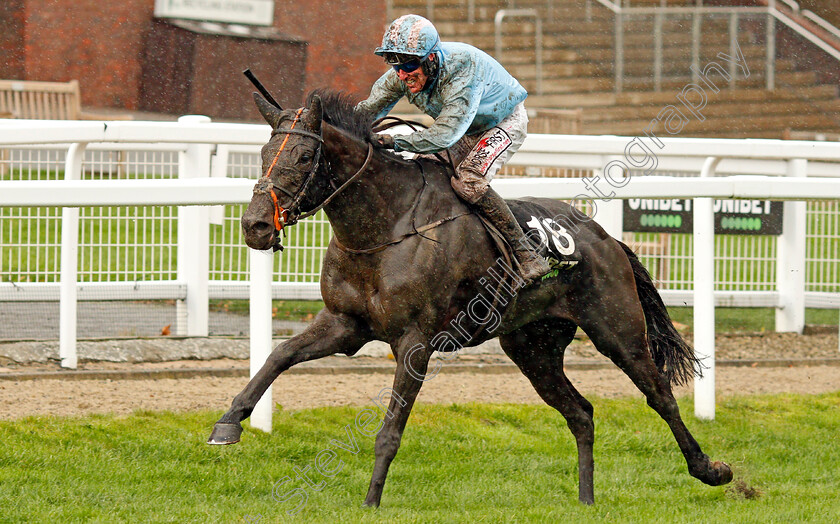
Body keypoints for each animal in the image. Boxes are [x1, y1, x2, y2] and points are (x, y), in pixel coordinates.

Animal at [207, 90, 732, 508]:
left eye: (301, 157)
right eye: (261, 155)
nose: (255, 226)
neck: (386, 227)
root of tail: (606, 237)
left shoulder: (415, 342)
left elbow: (390, 430)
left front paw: (371, 501)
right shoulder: (345, 324)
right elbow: (278, 355)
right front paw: (228, 424)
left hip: (617, 330)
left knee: (660, 394)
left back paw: (710, 469)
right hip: (533, 348)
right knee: (581, 413)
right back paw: (586, 499)